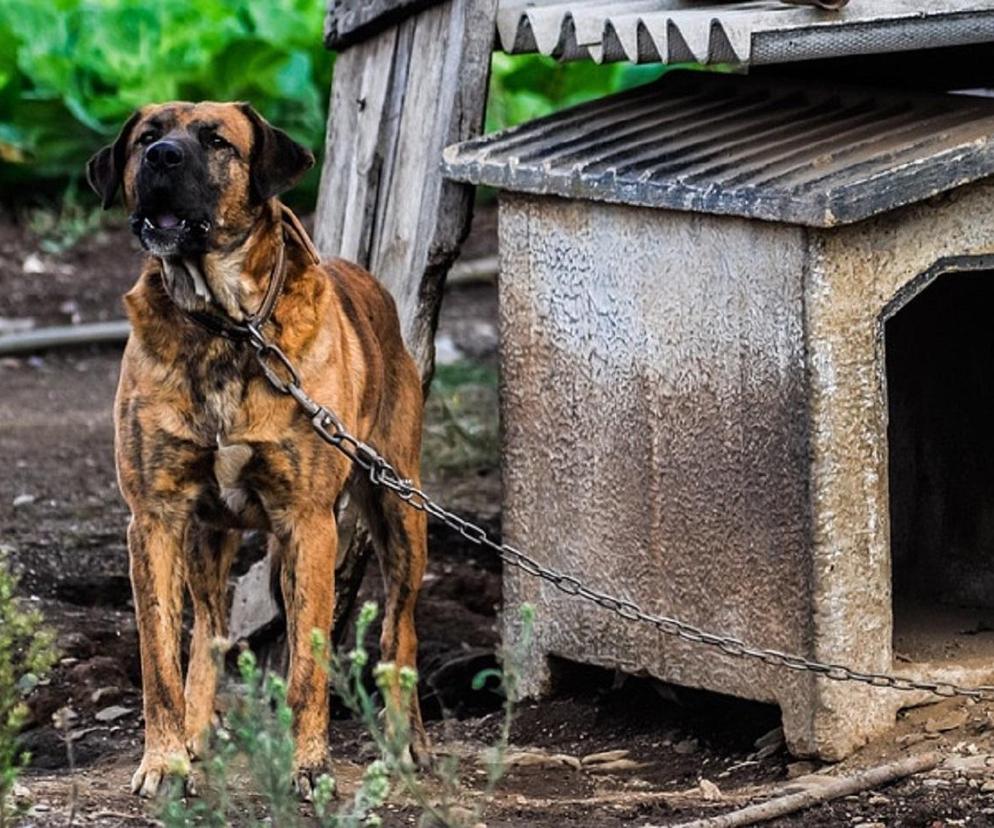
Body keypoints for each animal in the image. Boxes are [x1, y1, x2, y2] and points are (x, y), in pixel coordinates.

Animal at [91, 102, 432, 796]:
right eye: (146, 137)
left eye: (216, 141)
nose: (161, 157)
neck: (226, 327)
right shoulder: (155, 518)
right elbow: (160, 656)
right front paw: (164, 760)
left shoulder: (309, 522)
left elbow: (308, 661)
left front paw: (310, 765)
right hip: (207, 536)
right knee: (210, 631)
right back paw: (197, 734)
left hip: (400, 508)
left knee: (398, 629)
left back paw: (406, 742)